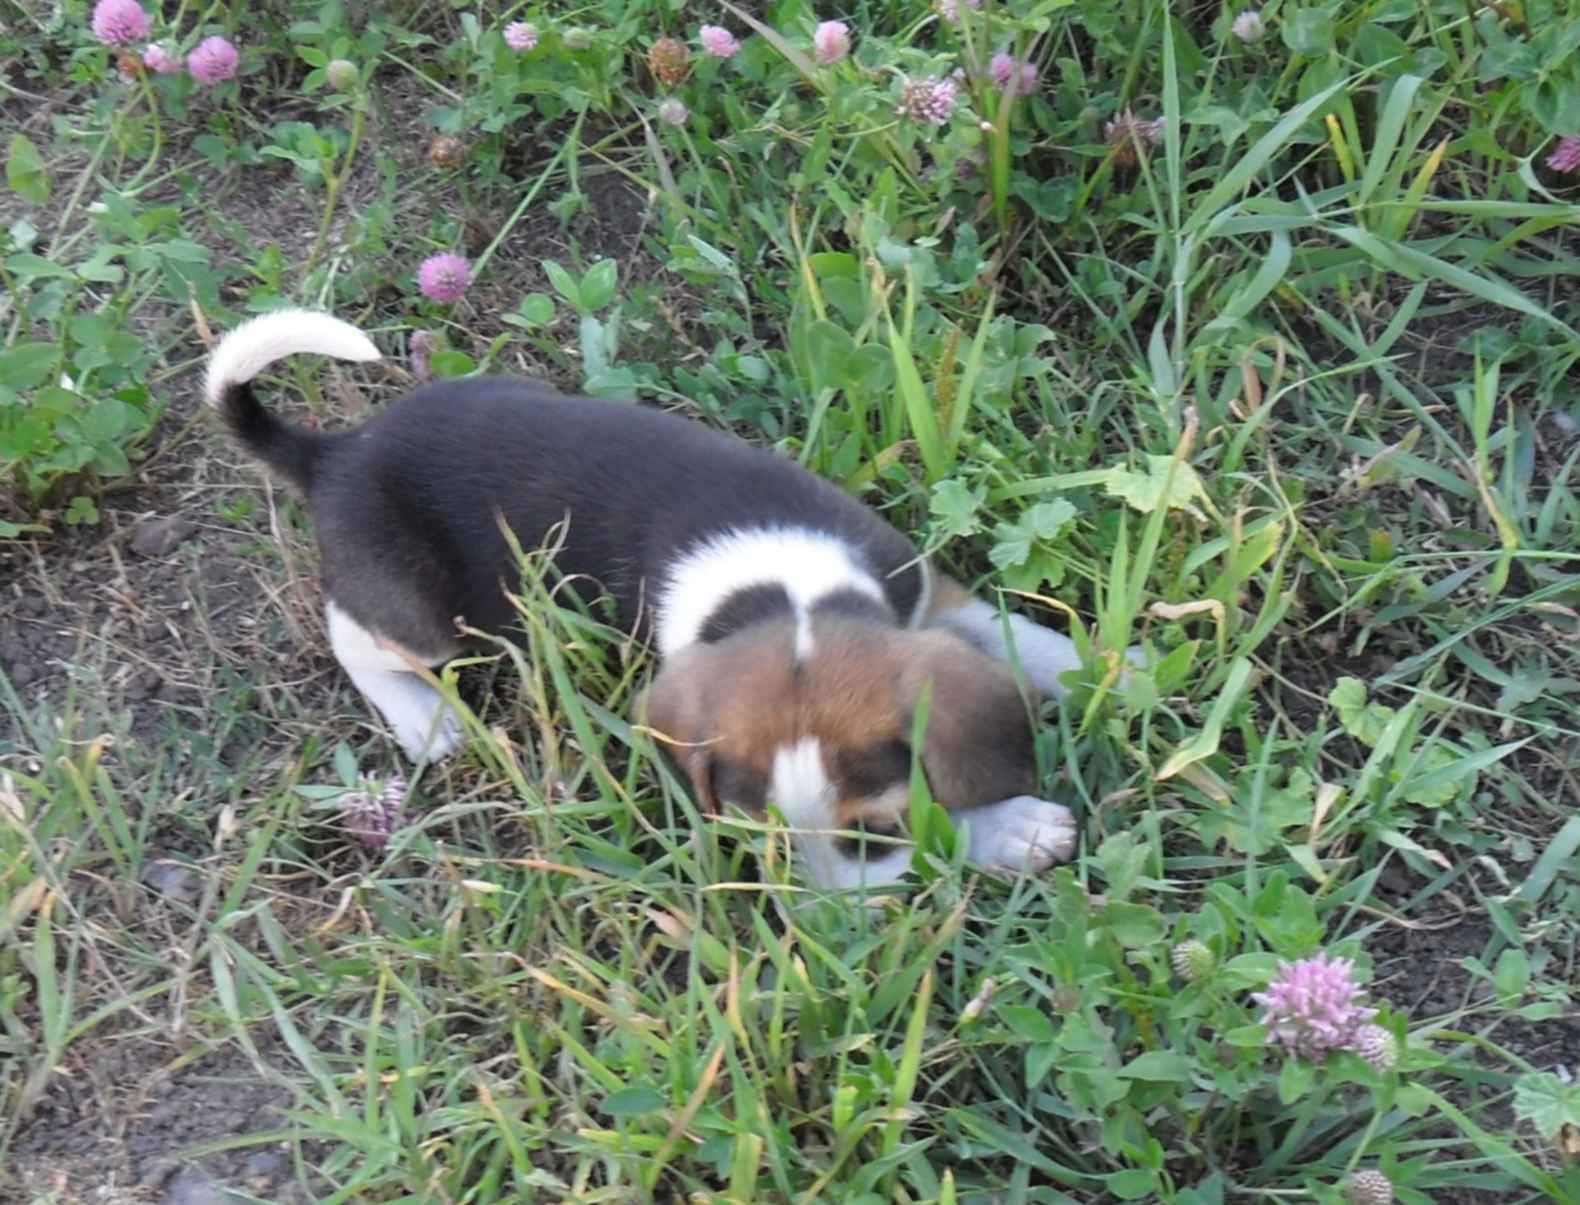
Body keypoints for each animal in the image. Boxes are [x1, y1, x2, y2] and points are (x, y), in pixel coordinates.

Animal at [206, 307, 1099, 897]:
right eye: (757, 845)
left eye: (873, 831)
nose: (840, 939)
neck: (782, 597)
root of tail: (335, 452)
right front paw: (1009, 826)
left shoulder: (920, 591)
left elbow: (1025, 640)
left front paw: (1106, 672)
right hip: (426, 616)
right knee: (350, 632)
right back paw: (425, 717)